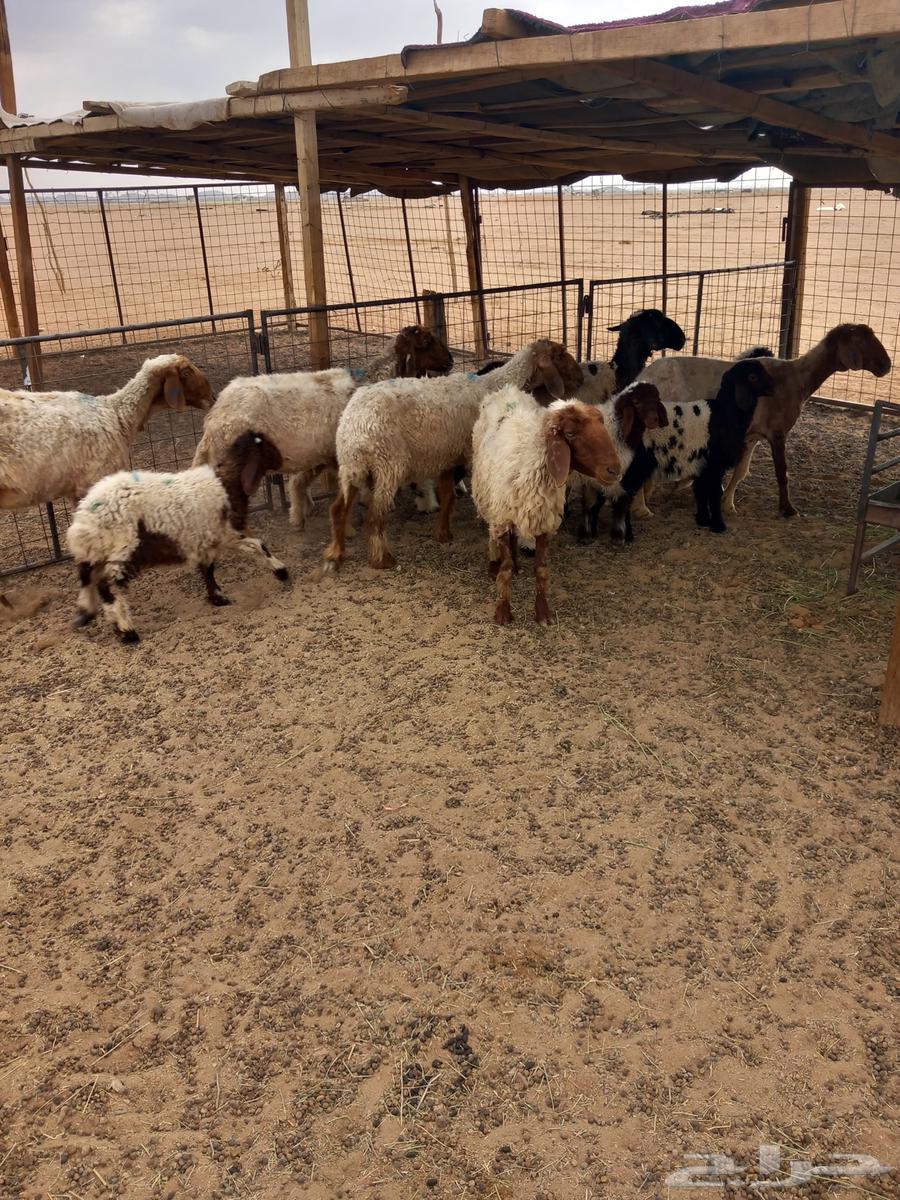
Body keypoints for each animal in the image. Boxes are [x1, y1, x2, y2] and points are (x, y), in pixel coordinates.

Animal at [67, 431, 288, 644]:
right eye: (267, 446)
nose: (282, 460)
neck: (227, 482)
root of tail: (85, 516)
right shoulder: (225, 533)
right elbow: (258, 545)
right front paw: (281, 572)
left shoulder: (206, 539)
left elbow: (208, 568)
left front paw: (217, 598)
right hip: (123, 547)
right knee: (108, 585)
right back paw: (127, 632)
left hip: (97, 551)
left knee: (88, 577)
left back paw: (86, 614)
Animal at [323, 339, 584, 572]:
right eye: (561, 354)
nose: (580, 377)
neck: (497, 383)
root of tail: (354, 424)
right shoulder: (470, 453)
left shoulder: (449, 455)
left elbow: (448, 497)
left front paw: (443, 534)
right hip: (387, 463)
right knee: (375, 516)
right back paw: (382, 559)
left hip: (352, 466)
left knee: (338, 509)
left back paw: (335, 554)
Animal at [471, 387, 622, 624]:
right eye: (570, 434)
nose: (615, 470)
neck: (530, 464)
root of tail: (508, 388)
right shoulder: (502, 518)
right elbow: (505, 570)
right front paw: (503, 612)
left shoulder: (543, 521)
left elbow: (541, 570)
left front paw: (543, 613)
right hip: (490, 502)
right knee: (492, 535)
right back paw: (494, 564)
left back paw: (517, 565)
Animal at [637, 324, 891, 517]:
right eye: (862, 341)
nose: (887, 366)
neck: (796, 378)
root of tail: (642, 378)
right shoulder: (777, 432)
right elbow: (782, 473)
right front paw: (788, 509)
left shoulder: (753, 435)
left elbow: (741, 470)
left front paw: (727, 504)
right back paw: (643, 508)